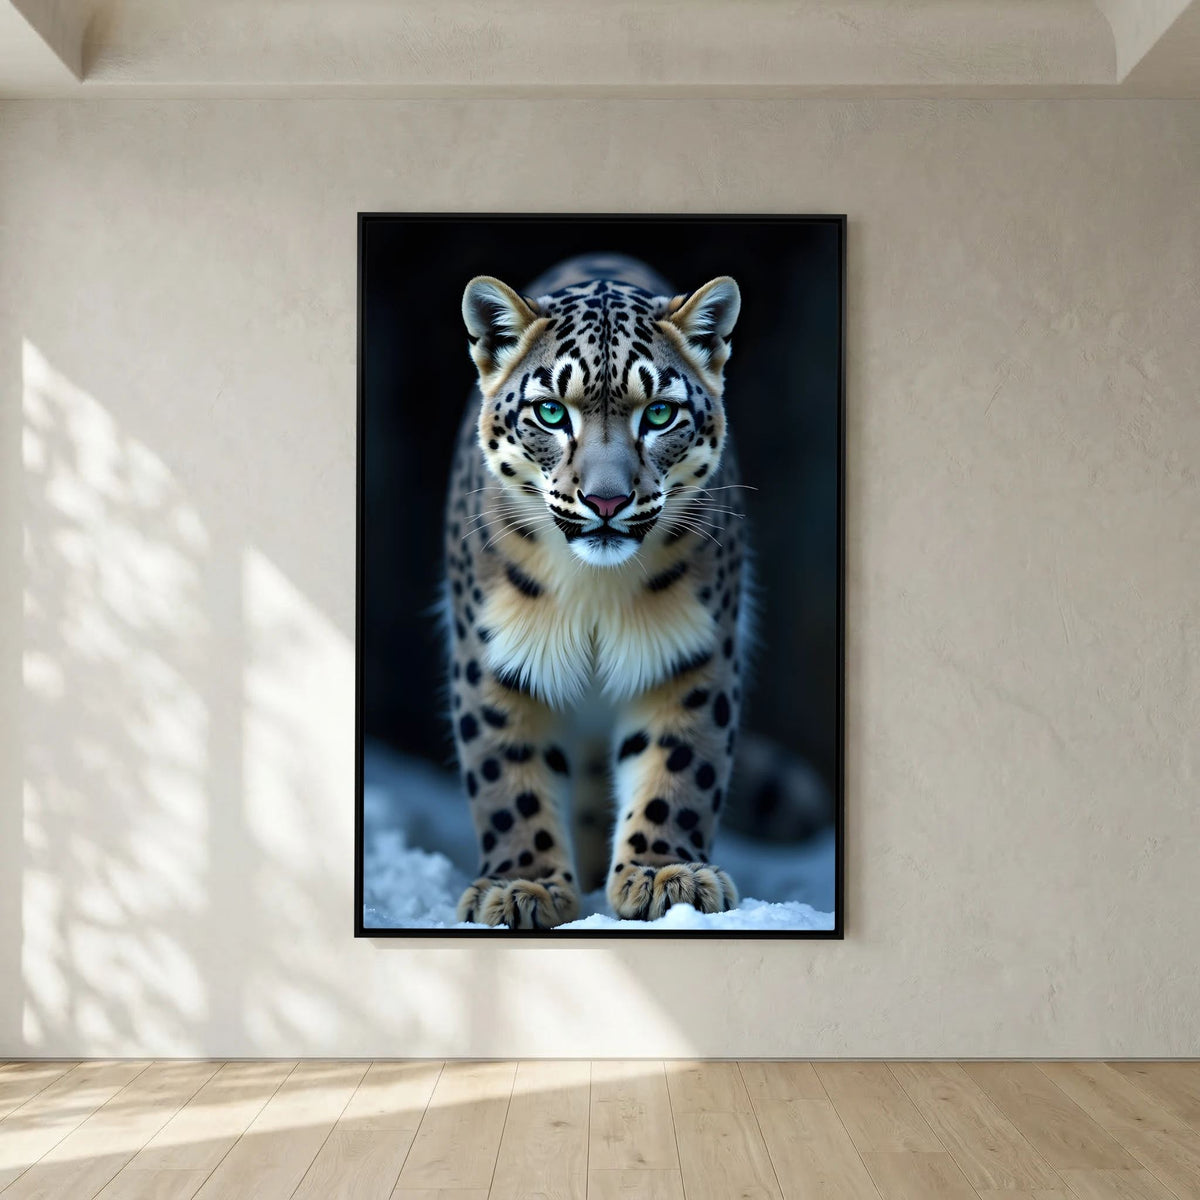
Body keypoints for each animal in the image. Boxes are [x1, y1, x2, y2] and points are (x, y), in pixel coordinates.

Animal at [443, 252, 752, 929]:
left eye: (658, 413)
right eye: (551, 412)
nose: (606, 501)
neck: (594, 591)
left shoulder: (690, 653)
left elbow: (679, 764)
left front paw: (667, 874)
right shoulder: (493, 657)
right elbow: (508, 776)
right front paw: (522, 887)